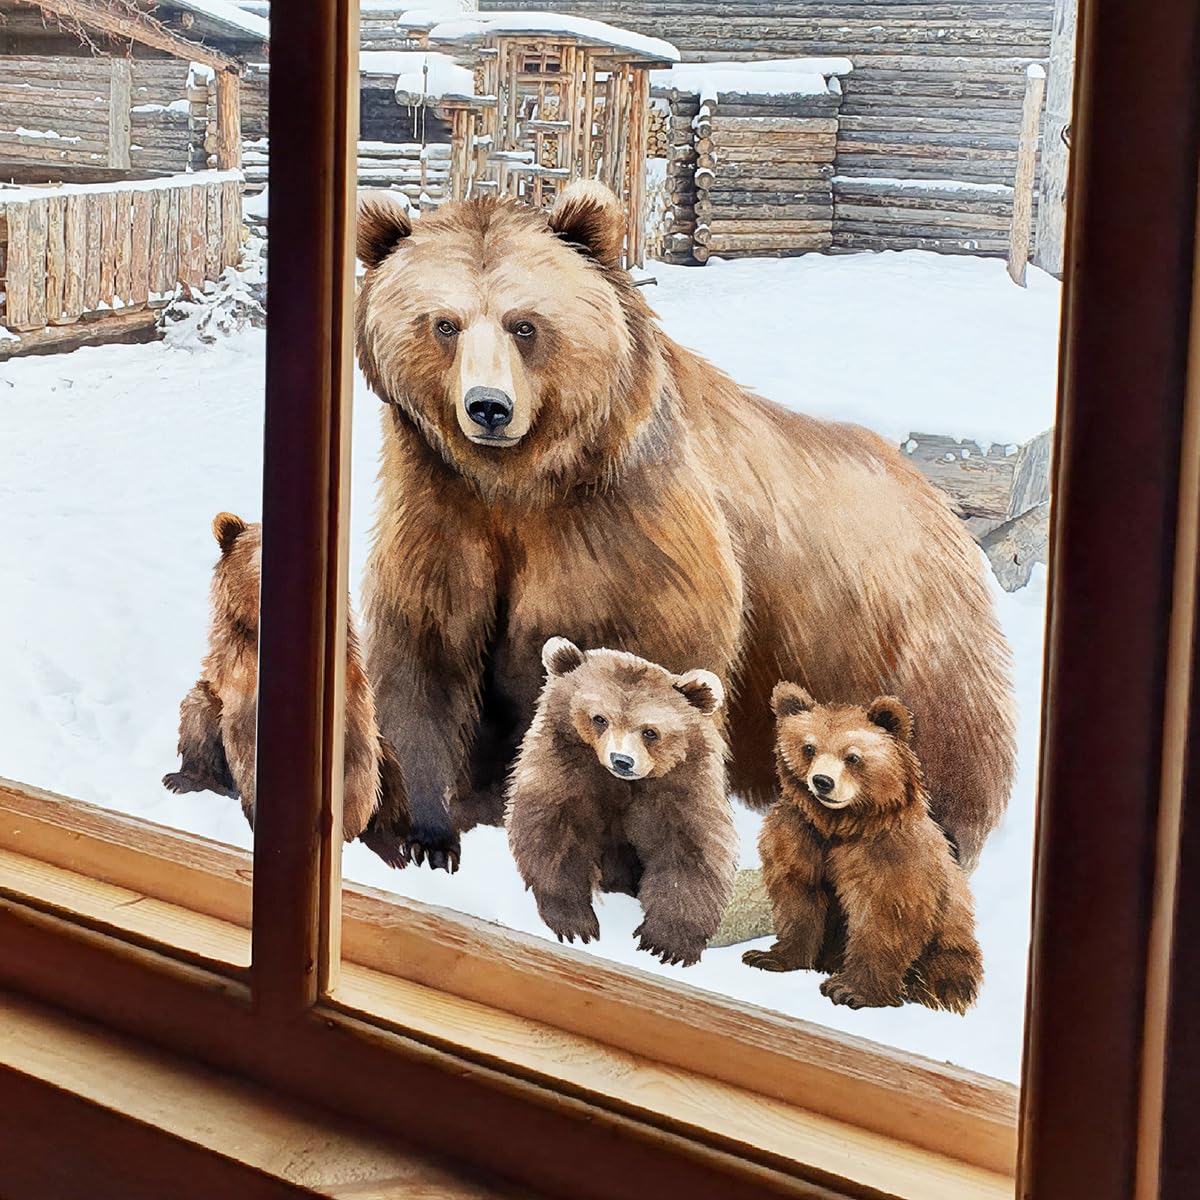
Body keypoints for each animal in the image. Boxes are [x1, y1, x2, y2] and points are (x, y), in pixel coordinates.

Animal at [163, 512, 423, 868]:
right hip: (208, 702)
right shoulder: (240, 688)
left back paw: (390, 844)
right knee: (197, 713)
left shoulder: (352, 705)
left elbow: (357, 770)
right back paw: (185, 779)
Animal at [354, 179, 1016, 875]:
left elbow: (653, 659)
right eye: (444, 324)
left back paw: (943, 832)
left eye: (524, 324)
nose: (488, 407)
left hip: (896, 636)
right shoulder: (443, 510)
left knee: (943, 736)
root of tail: (934, 496)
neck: (518, 484)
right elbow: (427, 650)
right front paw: (426, 829)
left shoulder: (626, 524)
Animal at [506, 637, 737, 967]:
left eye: (650, 731)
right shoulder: (566, 772)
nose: (622, 760)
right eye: (599, 718)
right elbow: (554, 832)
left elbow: (691, 851)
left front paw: (667, 942)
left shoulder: (681, 790)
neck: (622, 785)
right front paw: (575, 920)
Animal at [743, 683, 983, 1015]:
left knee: (945, 972)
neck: (839, 825)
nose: (822, 781)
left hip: (949, 944)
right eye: (809, 748)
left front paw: (850, 990)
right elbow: (798, 896)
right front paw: (769, 956)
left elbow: (884, 915)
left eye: (853, 757)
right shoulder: (800, 838)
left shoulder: (888, 855)